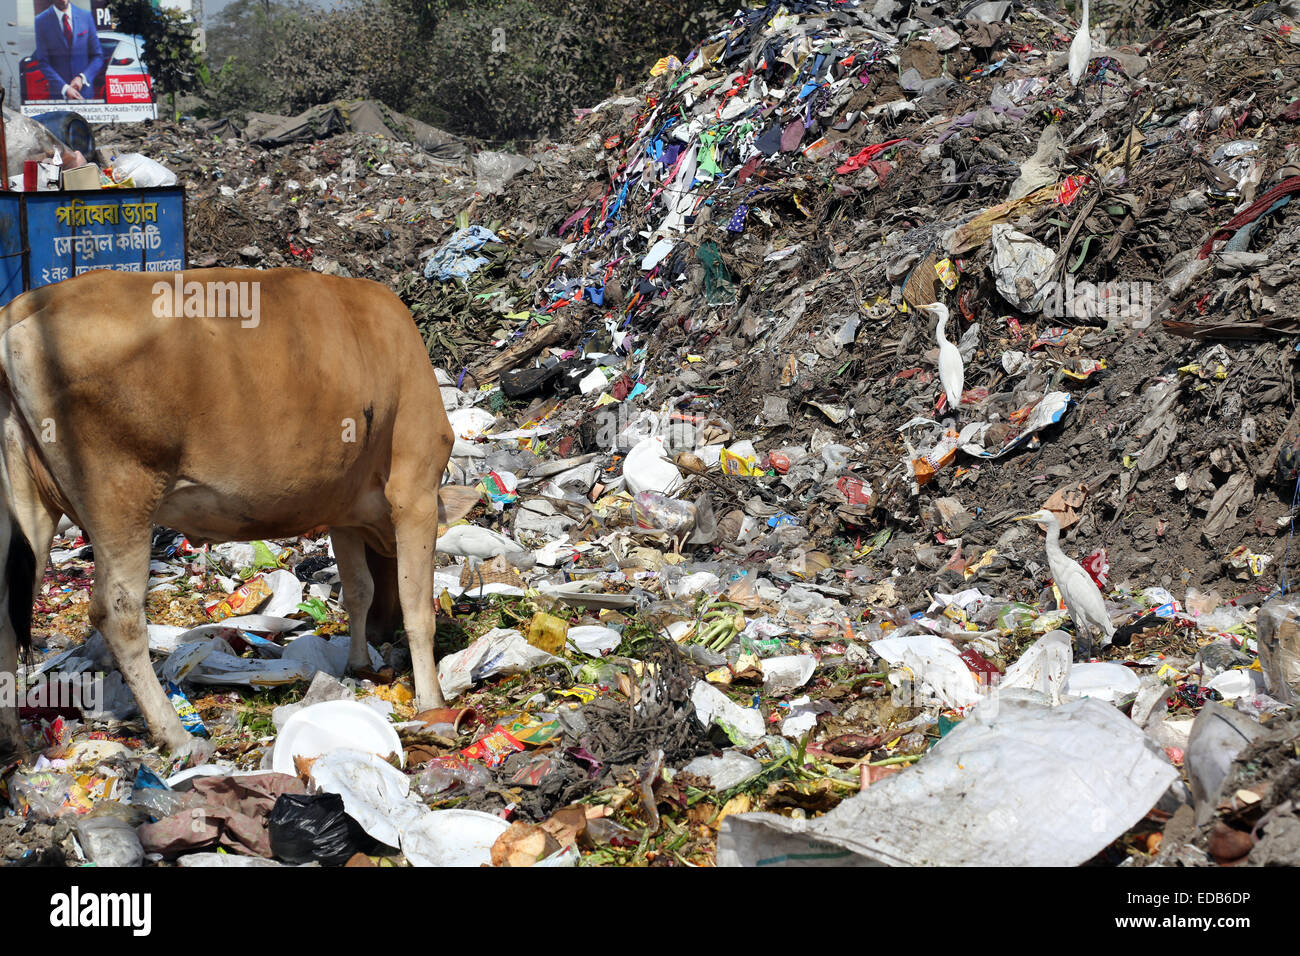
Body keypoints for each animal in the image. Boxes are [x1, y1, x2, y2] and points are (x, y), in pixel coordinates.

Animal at [0, 269, 478, 764]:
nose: (385, 634)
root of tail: (29, 306)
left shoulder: (344, 508)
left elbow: (358, 590)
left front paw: (359, 663)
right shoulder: (414, 488)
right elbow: (417, 606)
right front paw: (433, 702)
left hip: (30, 503)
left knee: (5, 613)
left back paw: (13, 742)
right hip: (121, 493)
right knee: (118, 613)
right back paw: (176, 734)